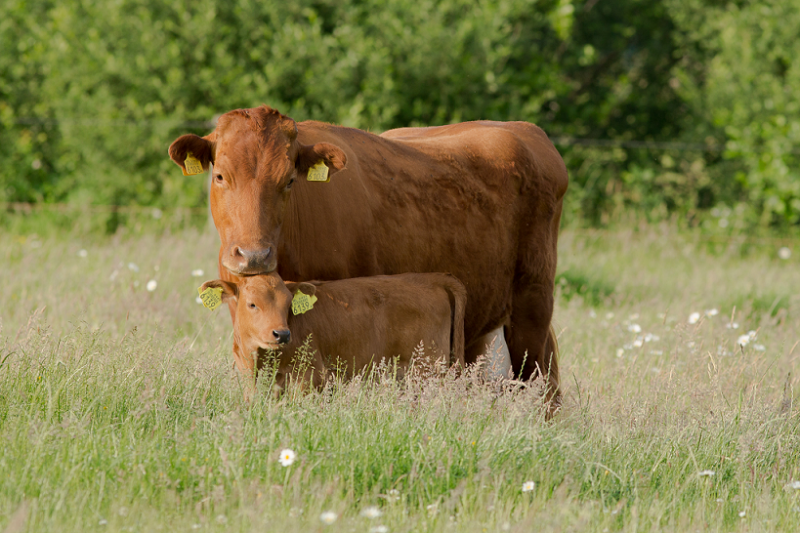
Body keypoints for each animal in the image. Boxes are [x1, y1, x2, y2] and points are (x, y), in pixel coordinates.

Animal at [199, 272, 466, 395]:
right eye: (252, 304)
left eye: (288, 304)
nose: (282, 334)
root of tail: (433, 277)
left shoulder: (311, 377)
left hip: (428, 369)